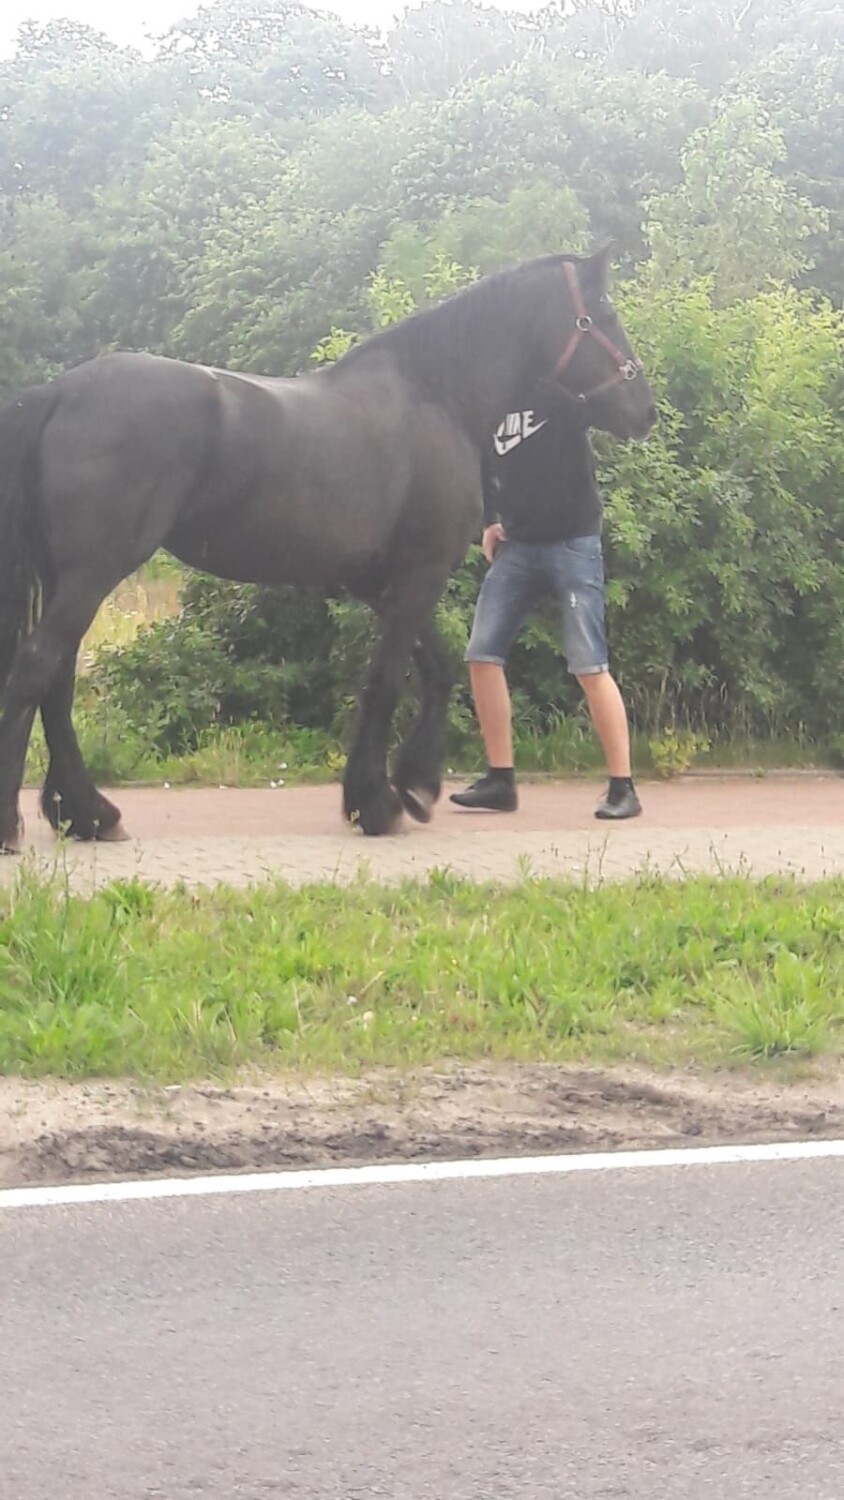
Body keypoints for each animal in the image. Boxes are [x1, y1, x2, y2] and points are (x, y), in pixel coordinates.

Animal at [0, 252, 659, 852]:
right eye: (602, 313)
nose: (646, 411)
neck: (434, 396)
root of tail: (58, 393)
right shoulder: (420, 573)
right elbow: (388, 679)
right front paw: (383, 799)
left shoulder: (375, 582)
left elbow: (436, 667)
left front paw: (411, 783)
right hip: (93, 572)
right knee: (36, 670)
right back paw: (22, 823)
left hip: (70, 576)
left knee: (56, 684)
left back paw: (87, 813)